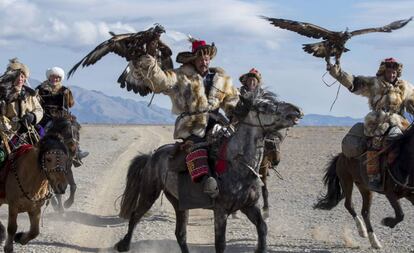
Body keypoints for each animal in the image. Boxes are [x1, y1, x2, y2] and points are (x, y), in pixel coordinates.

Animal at [115, 91, 302, 253]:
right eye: (264, 106)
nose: (296, 110)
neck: (237, 164)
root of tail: (152, 156)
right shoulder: (221, 211)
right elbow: (220, 244)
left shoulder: (249, 206)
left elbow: (263, 228)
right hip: (149, 192)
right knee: (135, 216)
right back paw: (124, 245)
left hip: (179, 202)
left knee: (180, 234)